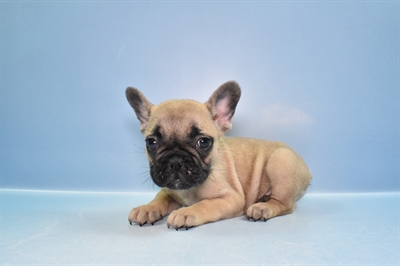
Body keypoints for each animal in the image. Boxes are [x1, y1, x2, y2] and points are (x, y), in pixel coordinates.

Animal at [126, 81, 310, 231]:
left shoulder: (232, 198)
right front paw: (146, 209)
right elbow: (160, 198)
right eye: (151, 143)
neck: (189, 190)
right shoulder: (169, 190)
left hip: (281, 159)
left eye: (203, 142)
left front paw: (186, 212)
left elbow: (206, 203)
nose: (175, 160)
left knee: (285, 204)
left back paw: (263, 207)